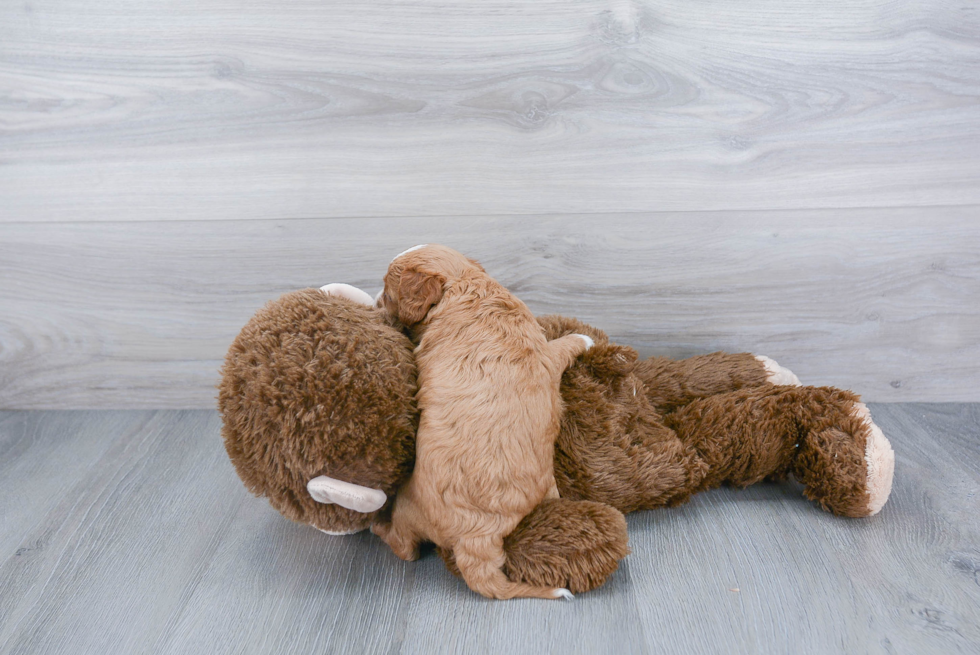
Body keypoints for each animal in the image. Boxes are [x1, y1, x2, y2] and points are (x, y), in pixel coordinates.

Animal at [374, 245, 588, 600]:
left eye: (388, 292)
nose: (376, 301)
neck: (465, 284)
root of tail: (477, 537)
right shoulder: (544, 352)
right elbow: (558, 348)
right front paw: (585, 338)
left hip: (407, 505)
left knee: (405, 547)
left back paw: (378, 525)